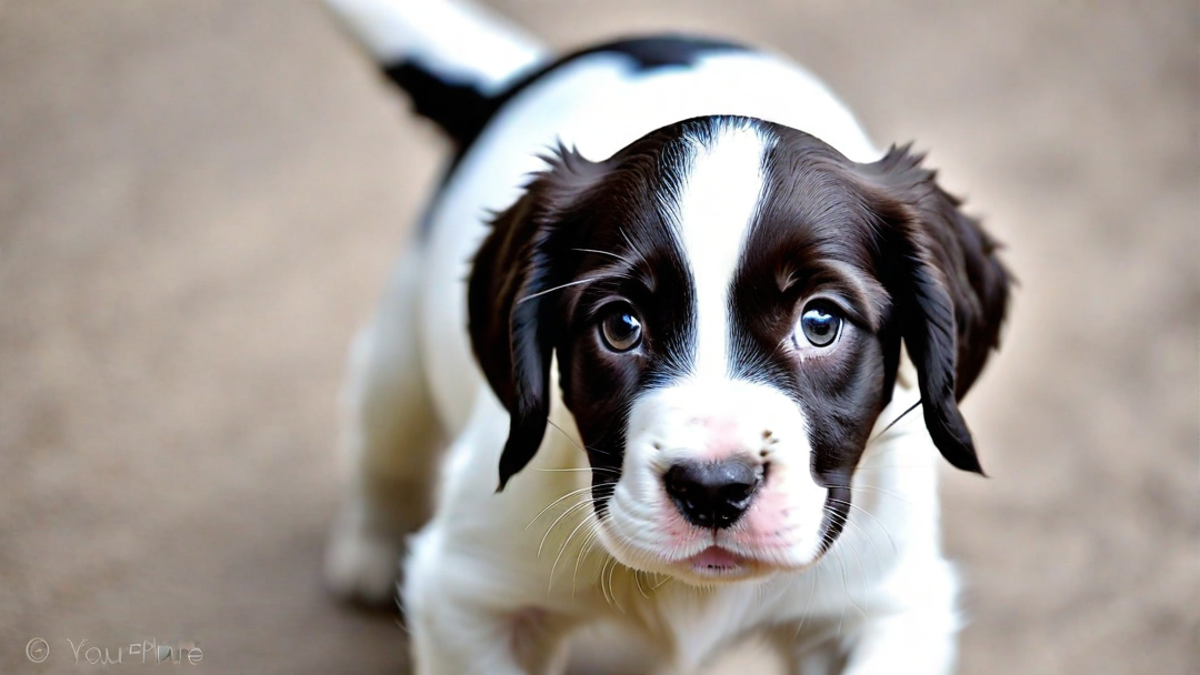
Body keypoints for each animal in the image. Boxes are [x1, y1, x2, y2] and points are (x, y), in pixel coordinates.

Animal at [321, 2, 1012, 667]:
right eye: (621, 325)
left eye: (820, 323)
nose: (714, 490)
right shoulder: (470, 600)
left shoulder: (890, 607)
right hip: (403, 346)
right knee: (387, 432)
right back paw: (371, 549)